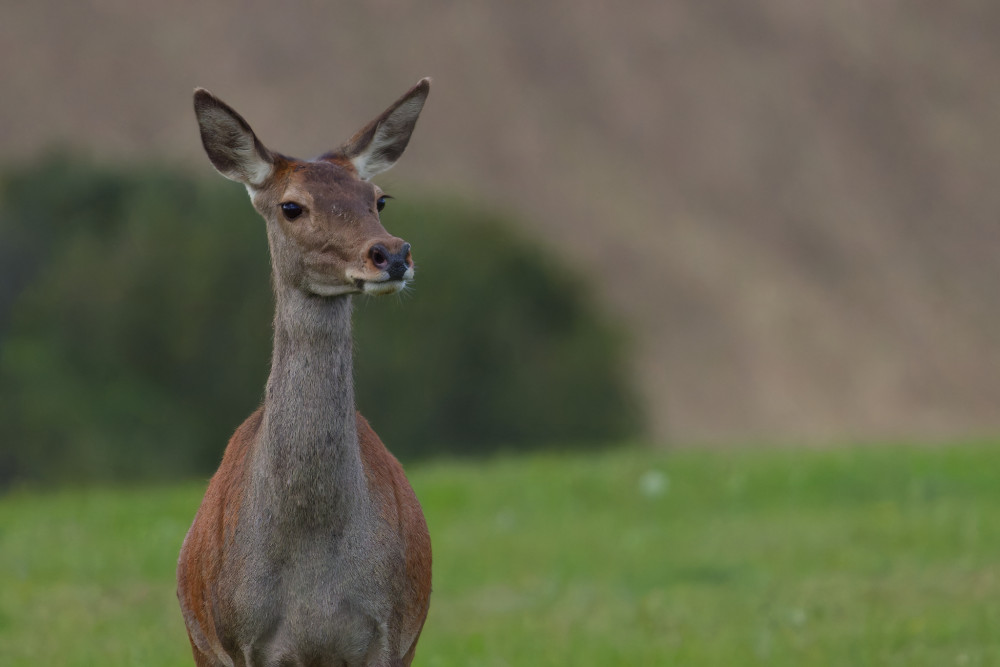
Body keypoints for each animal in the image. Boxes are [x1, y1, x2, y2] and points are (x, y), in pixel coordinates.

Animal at [175, 79, 430, 667]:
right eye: (292, 206)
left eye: (378, 198)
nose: (392, 253)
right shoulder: (240, 640)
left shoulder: (391, 632)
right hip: (199, 640)